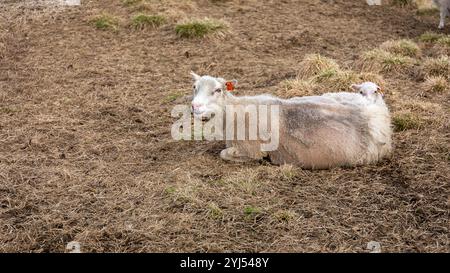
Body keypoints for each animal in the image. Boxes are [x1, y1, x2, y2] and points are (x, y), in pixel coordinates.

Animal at [188, 73, 392, 170]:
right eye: (194, 87)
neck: (234, 112)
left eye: (217, 90)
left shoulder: (251, 151)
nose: (195, 106)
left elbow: (224, 153)